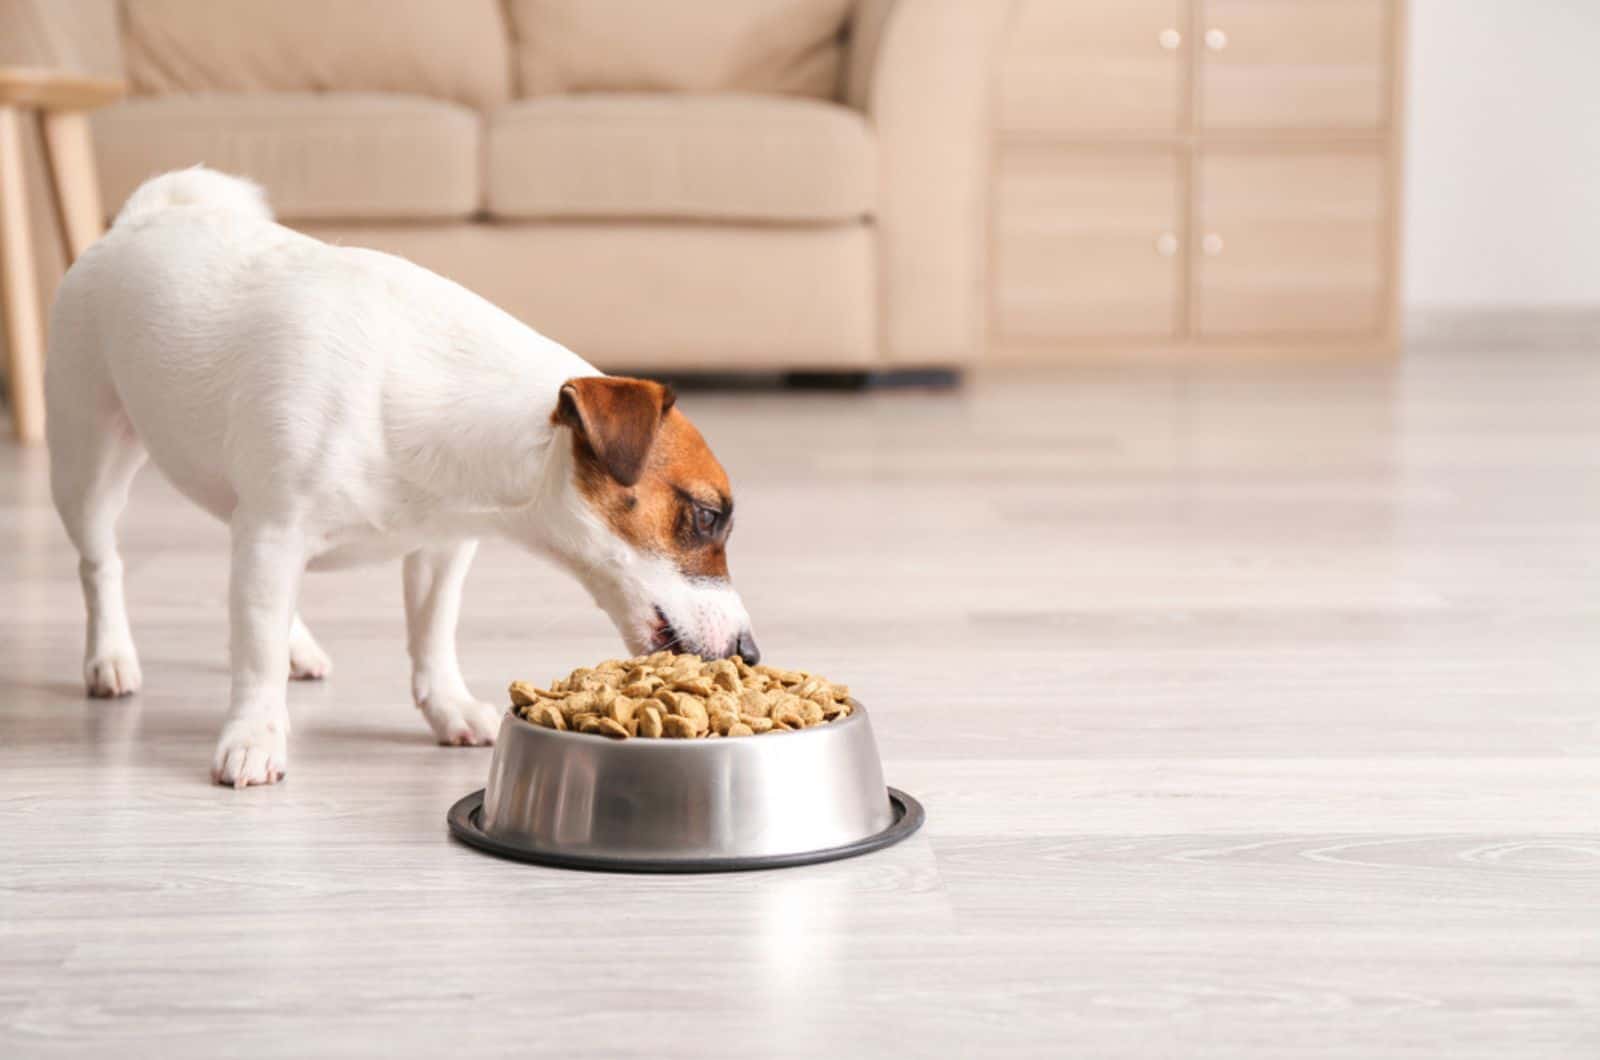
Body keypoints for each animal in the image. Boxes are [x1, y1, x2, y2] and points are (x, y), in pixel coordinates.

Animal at [43, 168, 755, 787]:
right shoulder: (276, 531)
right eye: (707, 516)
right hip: (89, 462)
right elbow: (255, 655)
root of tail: (145, 216)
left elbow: (431, 636)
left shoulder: (439, 548)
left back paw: (296, 647)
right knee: (101, 564)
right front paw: (254, 735)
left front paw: (448, 707)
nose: (750, 651)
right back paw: (110, 655)